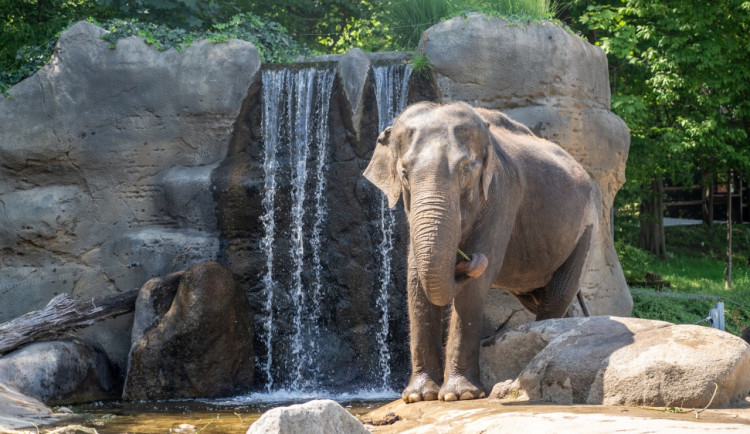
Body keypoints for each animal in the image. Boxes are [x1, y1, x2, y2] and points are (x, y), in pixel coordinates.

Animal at [364, 101, 600, 404]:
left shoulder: (502, 194)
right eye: (404, 172)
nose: (466, 260)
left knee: (557, 293)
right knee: (544, 297)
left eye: (466, 169)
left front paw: (459, 395)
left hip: (587, 229)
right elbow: (416, 277)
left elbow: (475, 285)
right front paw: (419, 396)